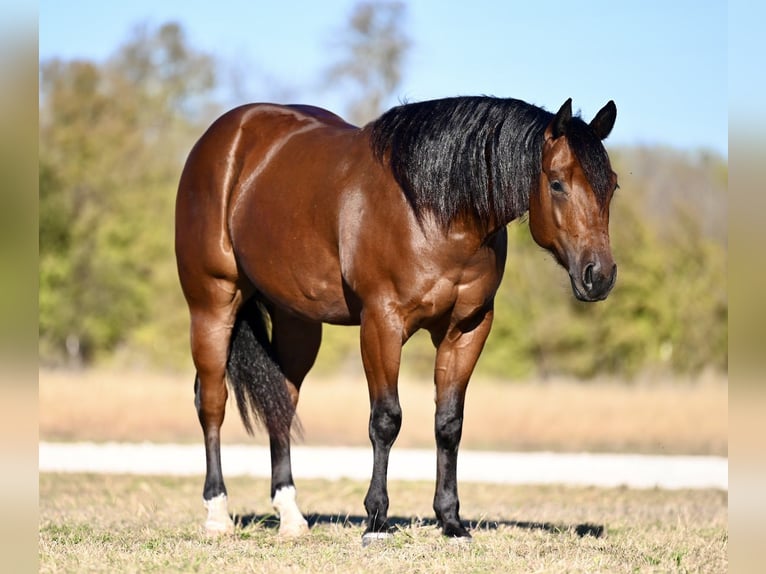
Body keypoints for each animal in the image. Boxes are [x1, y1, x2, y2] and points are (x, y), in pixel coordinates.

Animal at [174, 94, 616, 544]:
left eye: (612, 185)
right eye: (557, 183)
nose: (599, 276)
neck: (434, 210)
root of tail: (226, 134)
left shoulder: (467, 328)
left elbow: (448, 423)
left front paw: (451, 521)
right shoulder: (381, 323)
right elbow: (386, 419)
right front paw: (376, 521)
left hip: (297, 321)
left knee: (282, 401)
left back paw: (291, 516)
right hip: (212, 303)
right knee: (211, 401)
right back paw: (217, 513)